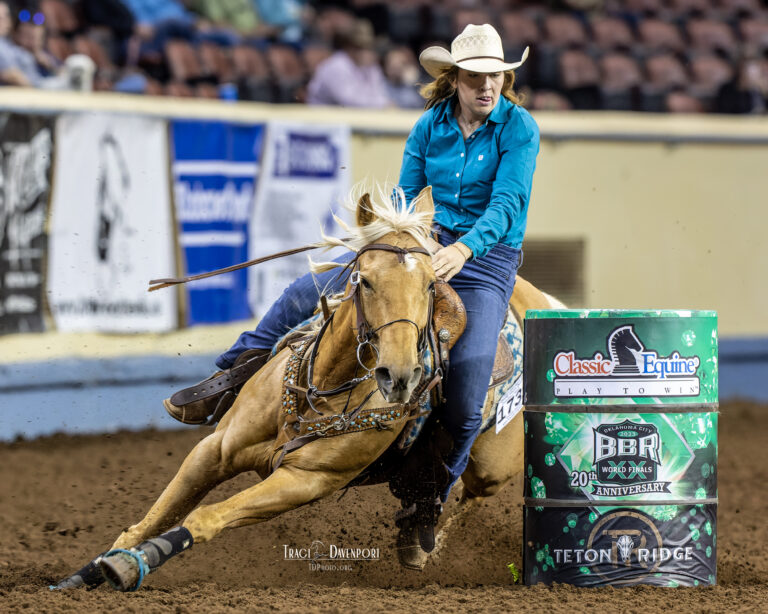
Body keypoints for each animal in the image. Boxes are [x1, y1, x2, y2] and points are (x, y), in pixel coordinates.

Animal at [52, 185, 560, 588]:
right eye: (364, 280)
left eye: (433, 285)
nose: (399, 376)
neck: (322, 389)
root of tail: (540, 302)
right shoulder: (216, 449)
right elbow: (157, 514)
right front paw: (86, 573)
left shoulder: (304, 482)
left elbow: (205, 516)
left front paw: (132, 564)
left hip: (490, 467)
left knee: (465, 493)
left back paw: (423, 541)